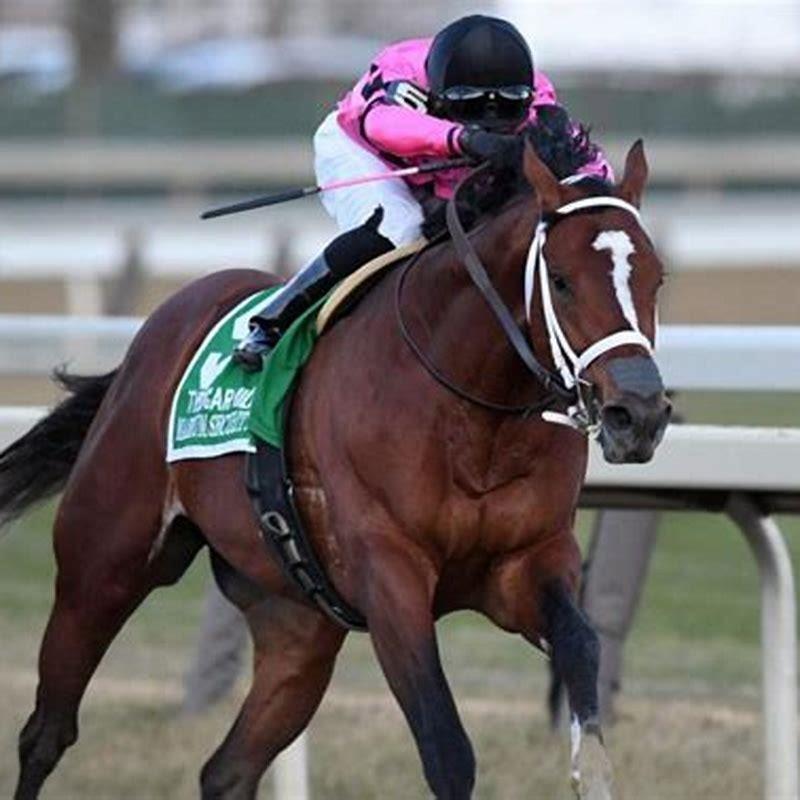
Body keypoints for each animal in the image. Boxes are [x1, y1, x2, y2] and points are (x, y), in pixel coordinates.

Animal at [2, 139, 670, 800]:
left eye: (657, 279)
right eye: (560, 281)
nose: (638, 414)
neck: (475, 414)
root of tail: (154, 335)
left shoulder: (524, 563)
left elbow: (582, 645)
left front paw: (591, 764)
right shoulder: (389, 575)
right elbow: (447, 751)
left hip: (297, 624)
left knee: (228, 770)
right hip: (102, 568)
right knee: (47, 732)